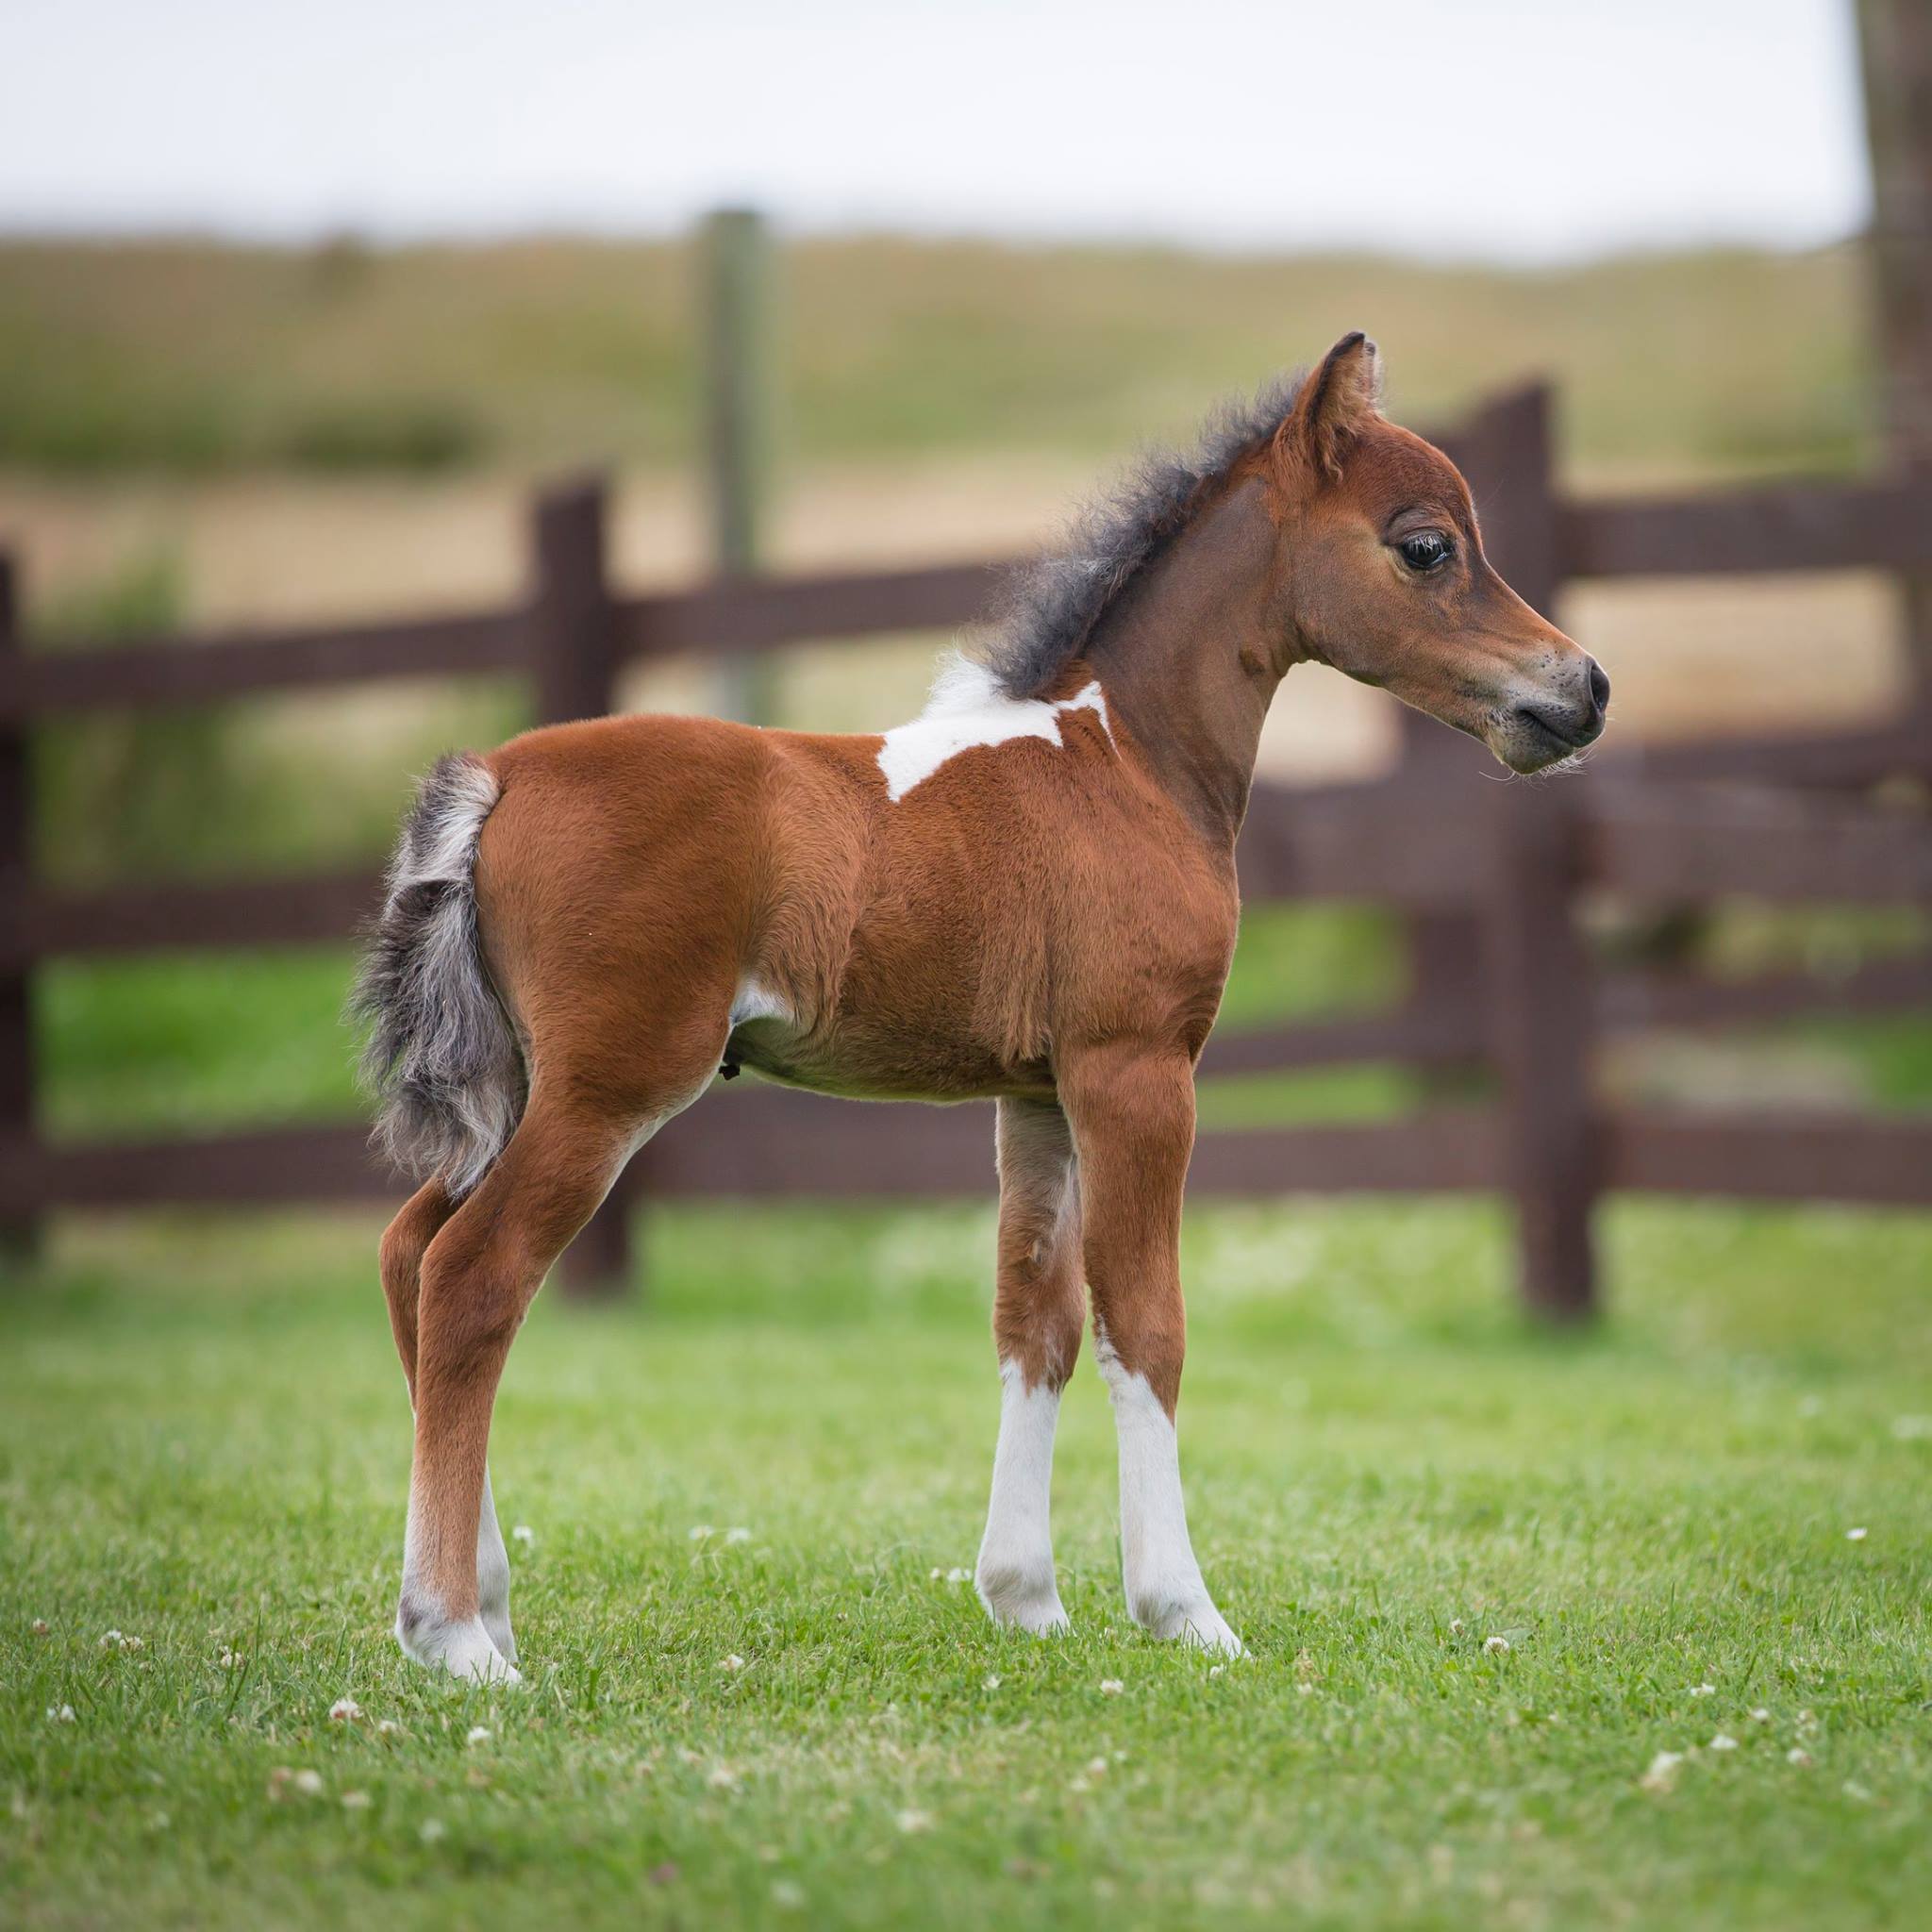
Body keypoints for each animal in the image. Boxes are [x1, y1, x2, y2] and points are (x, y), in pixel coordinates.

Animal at [354, 333, 1609, 1682]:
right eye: (1425, 545)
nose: (1580, 688)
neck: (1124, 762)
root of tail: (495, 778)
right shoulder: (1135, 1069)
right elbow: (1144, 1322)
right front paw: (1184, 1609)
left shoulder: (1037, 1092)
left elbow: (1034, 1317)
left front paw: (1025, 1595)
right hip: (610, 1086)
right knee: (474, 1276)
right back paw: (452, 1631)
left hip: (519, 1087)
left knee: (410, 1250)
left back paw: (484, 1597)